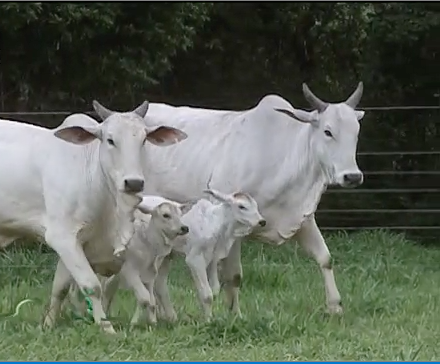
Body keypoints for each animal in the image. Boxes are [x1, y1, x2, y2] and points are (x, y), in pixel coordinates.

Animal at [0, 99, 186, 332]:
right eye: (110, 140)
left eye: (144, 140)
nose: (134, 183)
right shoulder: (62, 236)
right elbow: (92, 286)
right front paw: (107, 328)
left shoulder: (80, 241)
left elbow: (60, 287)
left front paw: (48, 325)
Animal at [140, 82, 364, 316]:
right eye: (328, 132)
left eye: (356, 132)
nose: (352, 176)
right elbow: (234, 276)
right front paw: (235, 314)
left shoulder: (303, 219)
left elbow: (325, 259)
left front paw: (335, 307)